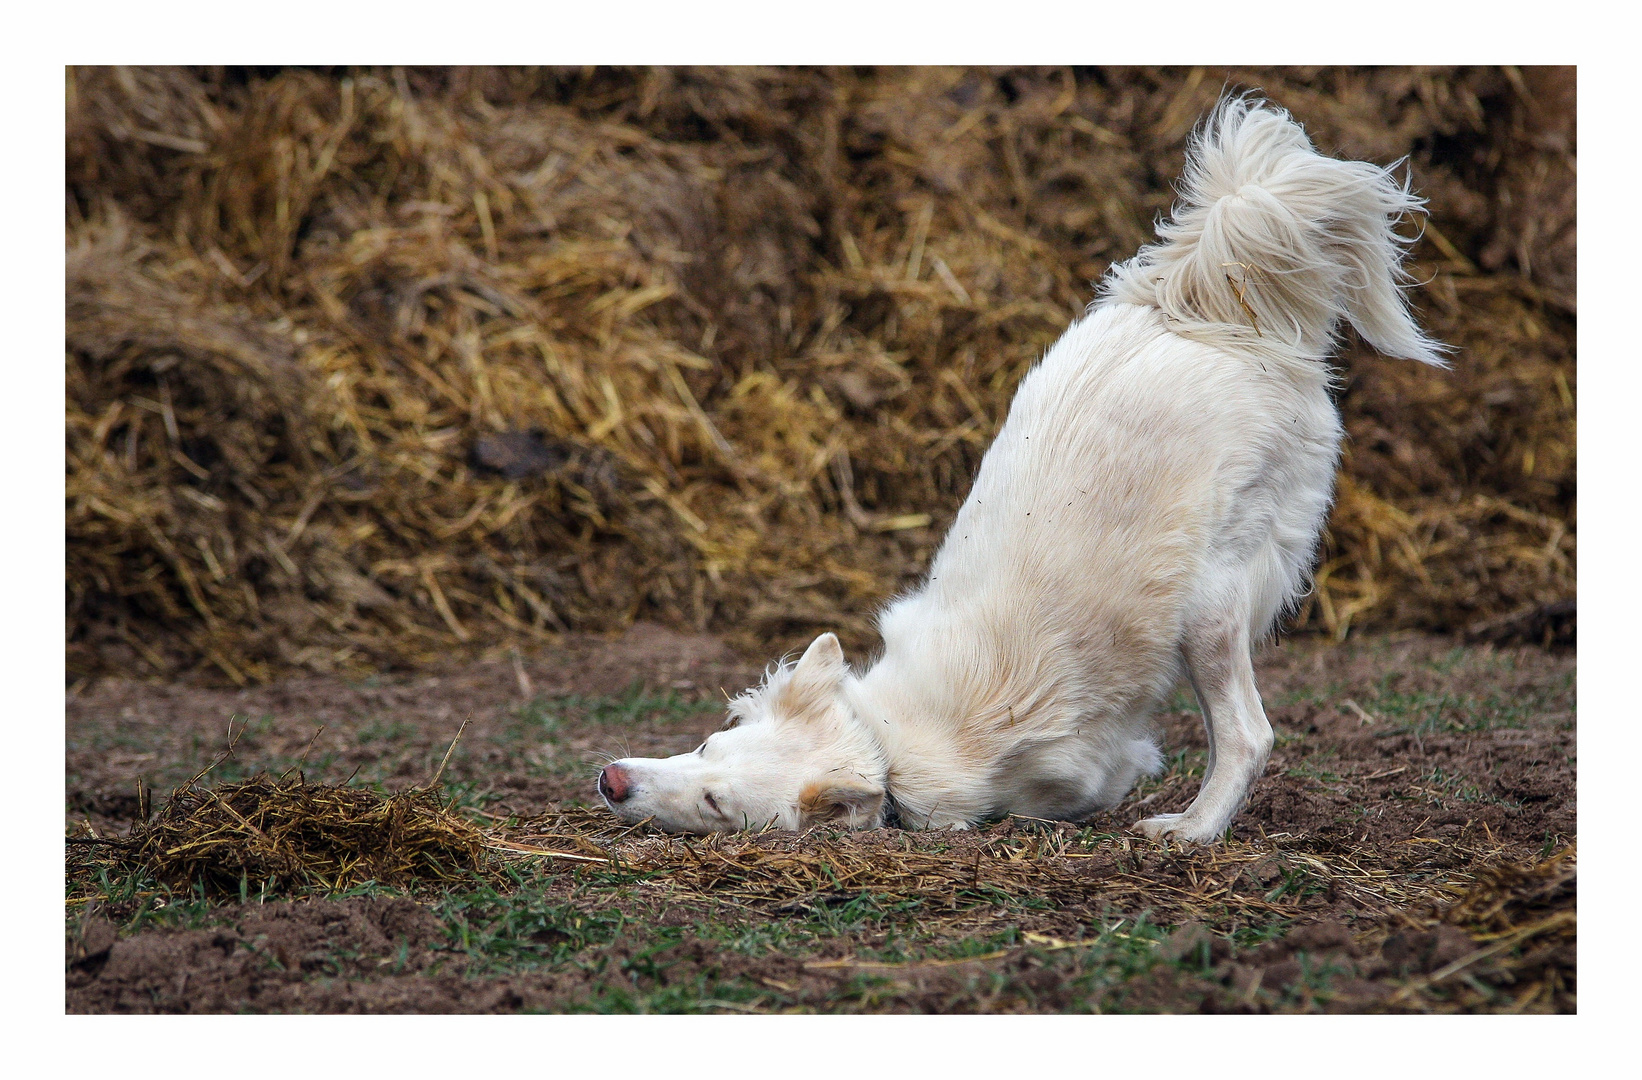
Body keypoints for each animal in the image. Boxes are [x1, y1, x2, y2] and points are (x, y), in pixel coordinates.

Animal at [597, 98, 1444, 840]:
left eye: (716, 804)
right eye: (707, 744)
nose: (612, 779)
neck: (886, 744)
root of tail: (1205, 312)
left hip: (1210, 606)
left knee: (1249, 735)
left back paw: (1193, 829)